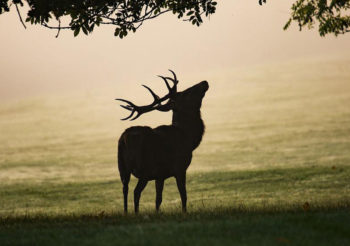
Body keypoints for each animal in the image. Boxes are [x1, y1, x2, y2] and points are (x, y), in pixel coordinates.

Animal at [116, 70, 208, 212]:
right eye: (186, 93)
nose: (204, 82)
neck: (189, 138)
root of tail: (124, 140)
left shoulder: (160, 175)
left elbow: (158, 199)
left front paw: (157, 212)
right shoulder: (180, 167)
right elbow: (184, 195)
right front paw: (184, 212)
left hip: (122, 167)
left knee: (125, 189)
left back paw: (127, 213)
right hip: (144, 168)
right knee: (136, 192)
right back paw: (135, 213)